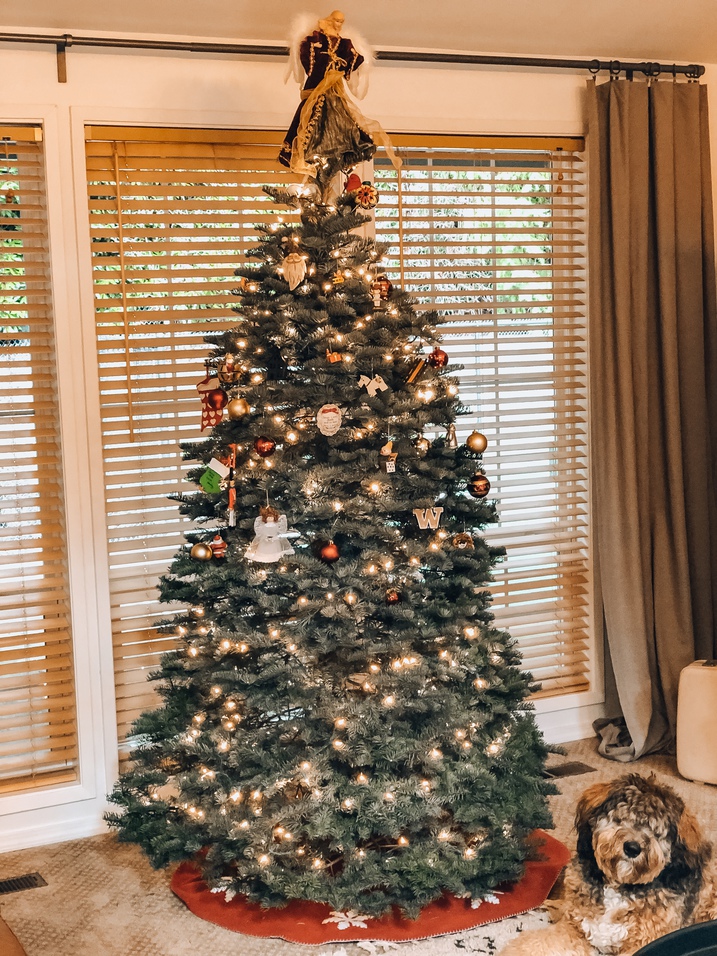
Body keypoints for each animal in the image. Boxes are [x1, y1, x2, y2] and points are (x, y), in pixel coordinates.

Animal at [498, 776, 716, 956]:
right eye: (621, 818)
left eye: (656, 831)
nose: (632, 848)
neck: (619, 887)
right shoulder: (574, 930)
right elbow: (535, 944)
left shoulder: (643, 942)